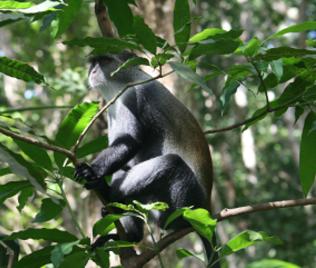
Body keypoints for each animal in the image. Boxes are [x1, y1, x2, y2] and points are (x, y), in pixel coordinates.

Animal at [74, 52, 217, 264]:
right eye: (92, 64)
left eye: (105, 61)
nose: (93, 71)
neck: (125, 79)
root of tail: (206, 207)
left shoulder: (130, 95)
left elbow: (131, 142)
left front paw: (91, 171)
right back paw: (131, 235)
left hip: (185, 202)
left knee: (172, 163)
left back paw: (110, 195)